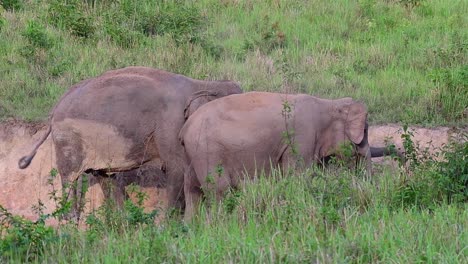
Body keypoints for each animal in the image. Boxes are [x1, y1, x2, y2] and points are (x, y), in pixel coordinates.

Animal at [17, 66, 241, 221]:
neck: (202, 85)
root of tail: (55, 108)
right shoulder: (170, 125)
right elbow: (178, 170)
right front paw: (170, 223)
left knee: (104, 176)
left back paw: (121, 218)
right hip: (69, 139)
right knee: (71, 175)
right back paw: (71, 218)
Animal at [181, 91, 400, 219]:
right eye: (365, 131)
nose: (400, 153)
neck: (328, 104)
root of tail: (185, 128)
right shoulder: (302, 136)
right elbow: (297, 176)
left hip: (194, 155)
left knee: (193, 191)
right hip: (208, 152)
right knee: (219, 191)